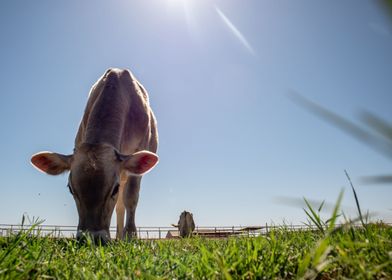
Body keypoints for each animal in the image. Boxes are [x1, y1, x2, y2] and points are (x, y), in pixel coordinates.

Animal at [29, 68, 158, 243]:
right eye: (70, 188)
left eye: (114, 189)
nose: (92, 239)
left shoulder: (139, 150)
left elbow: (131, 197)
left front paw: (131, 235)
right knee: (119, 207)